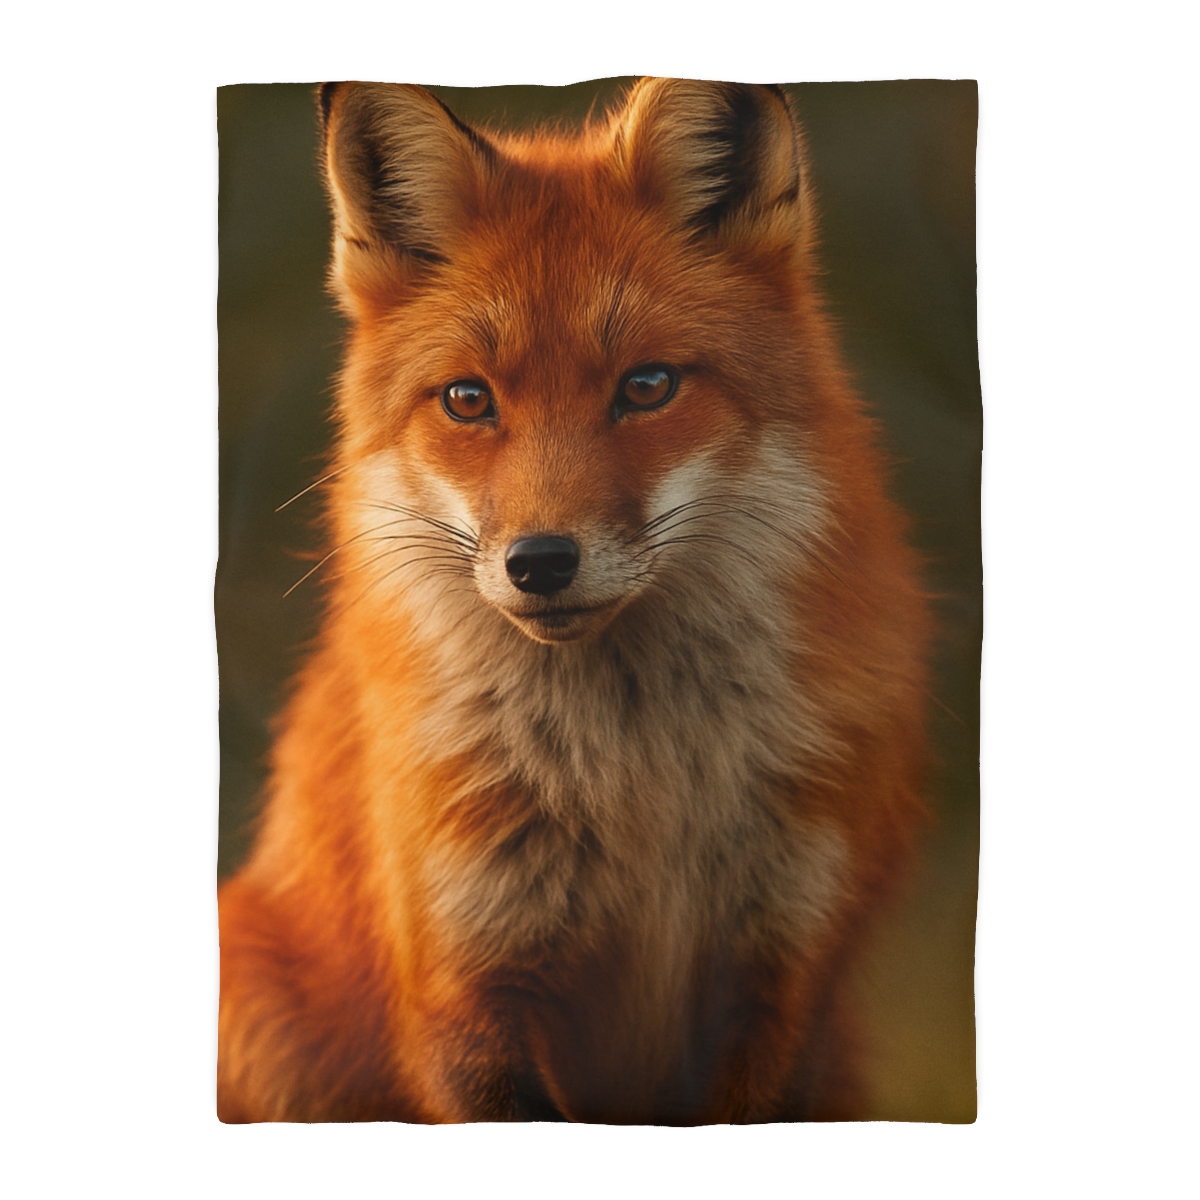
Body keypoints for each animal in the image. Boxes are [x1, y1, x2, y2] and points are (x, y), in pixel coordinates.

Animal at [217, 78, 930, 1124]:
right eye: (468, 400)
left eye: (647, 385)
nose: (541, 562)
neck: (637, 786)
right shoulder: (466, 994)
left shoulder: (779, 979)